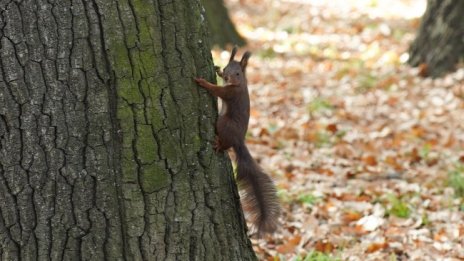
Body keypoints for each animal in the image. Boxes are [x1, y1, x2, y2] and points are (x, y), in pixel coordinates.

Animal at [195, 46, 280, 236]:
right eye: (227, 68)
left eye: (238, 73)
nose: (227, 77)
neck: (240, 84)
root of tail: (239, 141)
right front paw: (217, 69)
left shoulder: (231, 93)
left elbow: (217, 90)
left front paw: (203, 82)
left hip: (223, 123)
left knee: (225, 142)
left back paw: (219, 145)